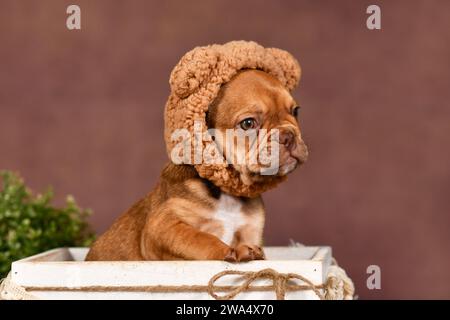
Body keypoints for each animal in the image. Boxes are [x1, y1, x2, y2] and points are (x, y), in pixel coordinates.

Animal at [85, 69, 308, 262]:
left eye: (295, 111)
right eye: (248, 124)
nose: (288, 135)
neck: (225, 193)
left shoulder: (250, 231)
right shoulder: (163, 226)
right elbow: (200, 238)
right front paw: (231, 251)